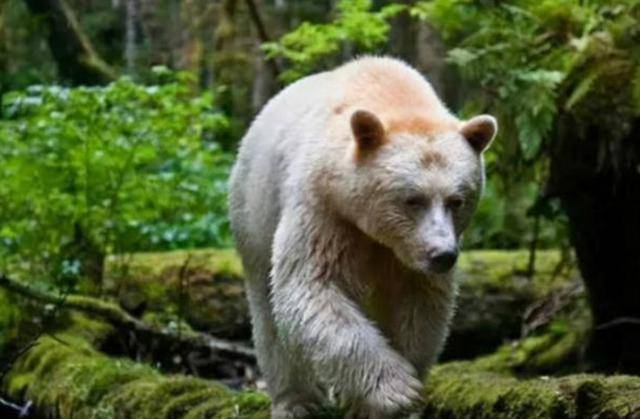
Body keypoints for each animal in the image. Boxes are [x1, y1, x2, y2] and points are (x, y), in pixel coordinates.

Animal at [229, 56, 497, 418]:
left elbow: (419, 305)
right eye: (412, 199)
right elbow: (312, 285)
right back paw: (297, 401)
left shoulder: (408, 257)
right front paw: (397, 390)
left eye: (457, 200)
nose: (442, 255)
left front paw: (391, 397)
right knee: (268, 311)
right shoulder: (324, 207)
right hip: (254, 211)